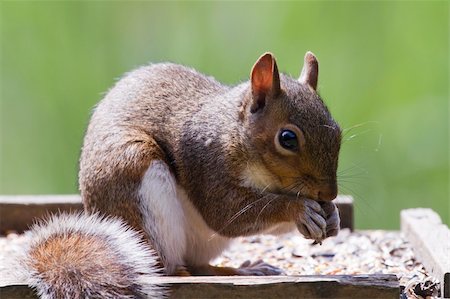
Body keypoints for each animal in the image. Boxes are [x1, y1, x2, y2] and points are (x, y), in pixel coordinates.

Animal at [20, 50, 342, 298]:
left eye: (337, 131)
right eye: (287, 139)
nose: (330, 193)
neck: (232, 133)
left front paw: (333, 215)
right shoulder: (206, 164)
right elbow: (226, 215)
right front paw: (299, 210)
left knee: (201, 267)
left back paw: (243, 270)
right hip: (140, 182)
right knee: (169, 268)